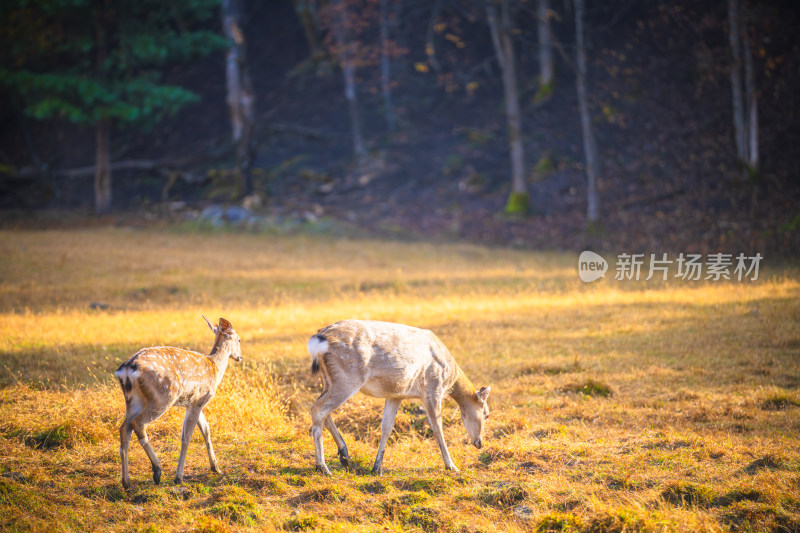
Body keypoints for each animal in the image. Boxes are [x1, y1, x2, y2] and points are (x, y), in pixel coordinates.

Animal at [114, 314, 242, 488]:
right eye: (239, 339)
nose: (240, 357)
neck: (215, 367)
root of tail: (126, 370)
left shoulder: (193, 402)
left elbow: (206, 430)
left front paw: (216, 467)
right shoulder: (199, 399)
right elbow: (186, 437)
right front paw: (178, 477)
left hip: (132, 401)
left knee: (124, 428)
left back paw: (126, 482)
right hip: (163, 396)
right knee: (138, 424)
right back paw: (157, 471)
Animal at [308, 318, 490, 476]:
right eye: (486, 414)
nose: (480, 443)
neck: (450, 377)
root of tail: (319, 340)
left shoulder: (396, 394)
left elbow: (387, 427)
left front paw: (377, 468)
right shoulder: (433, 388)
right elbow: (437, 426)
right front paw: (451, 466)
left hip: (327, 380)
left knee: (322, 410)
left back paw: (344, 455)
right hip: (347, 378)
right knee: (318, 409)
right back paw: (322, 467)